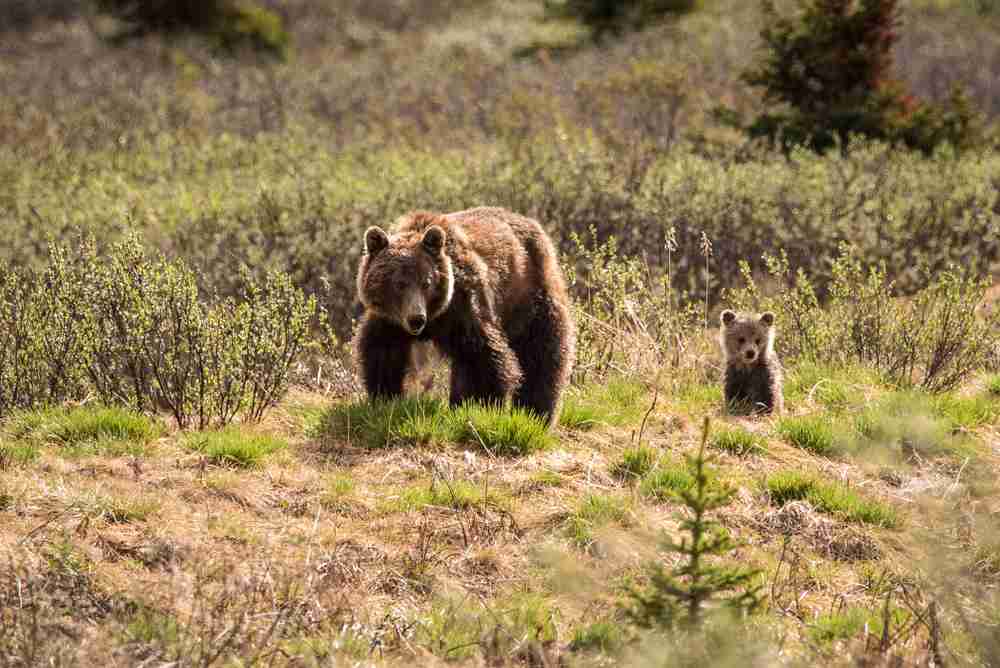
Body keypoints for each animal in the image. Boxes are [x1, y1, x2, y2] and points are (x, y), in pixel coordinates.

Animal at [353, 206, 576, 427]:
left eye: (426, 282)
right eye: (399, 284)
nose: (417, 319)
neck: (435, 317)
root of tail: (534, 224)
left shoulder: (462, 309)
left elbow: (482, 359)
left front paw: (479, 405)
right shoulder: (390, 321)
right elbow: (382, 353)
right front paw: (386, 398)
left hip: (529, 295)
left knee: (542, 353)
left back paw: (535, 412)